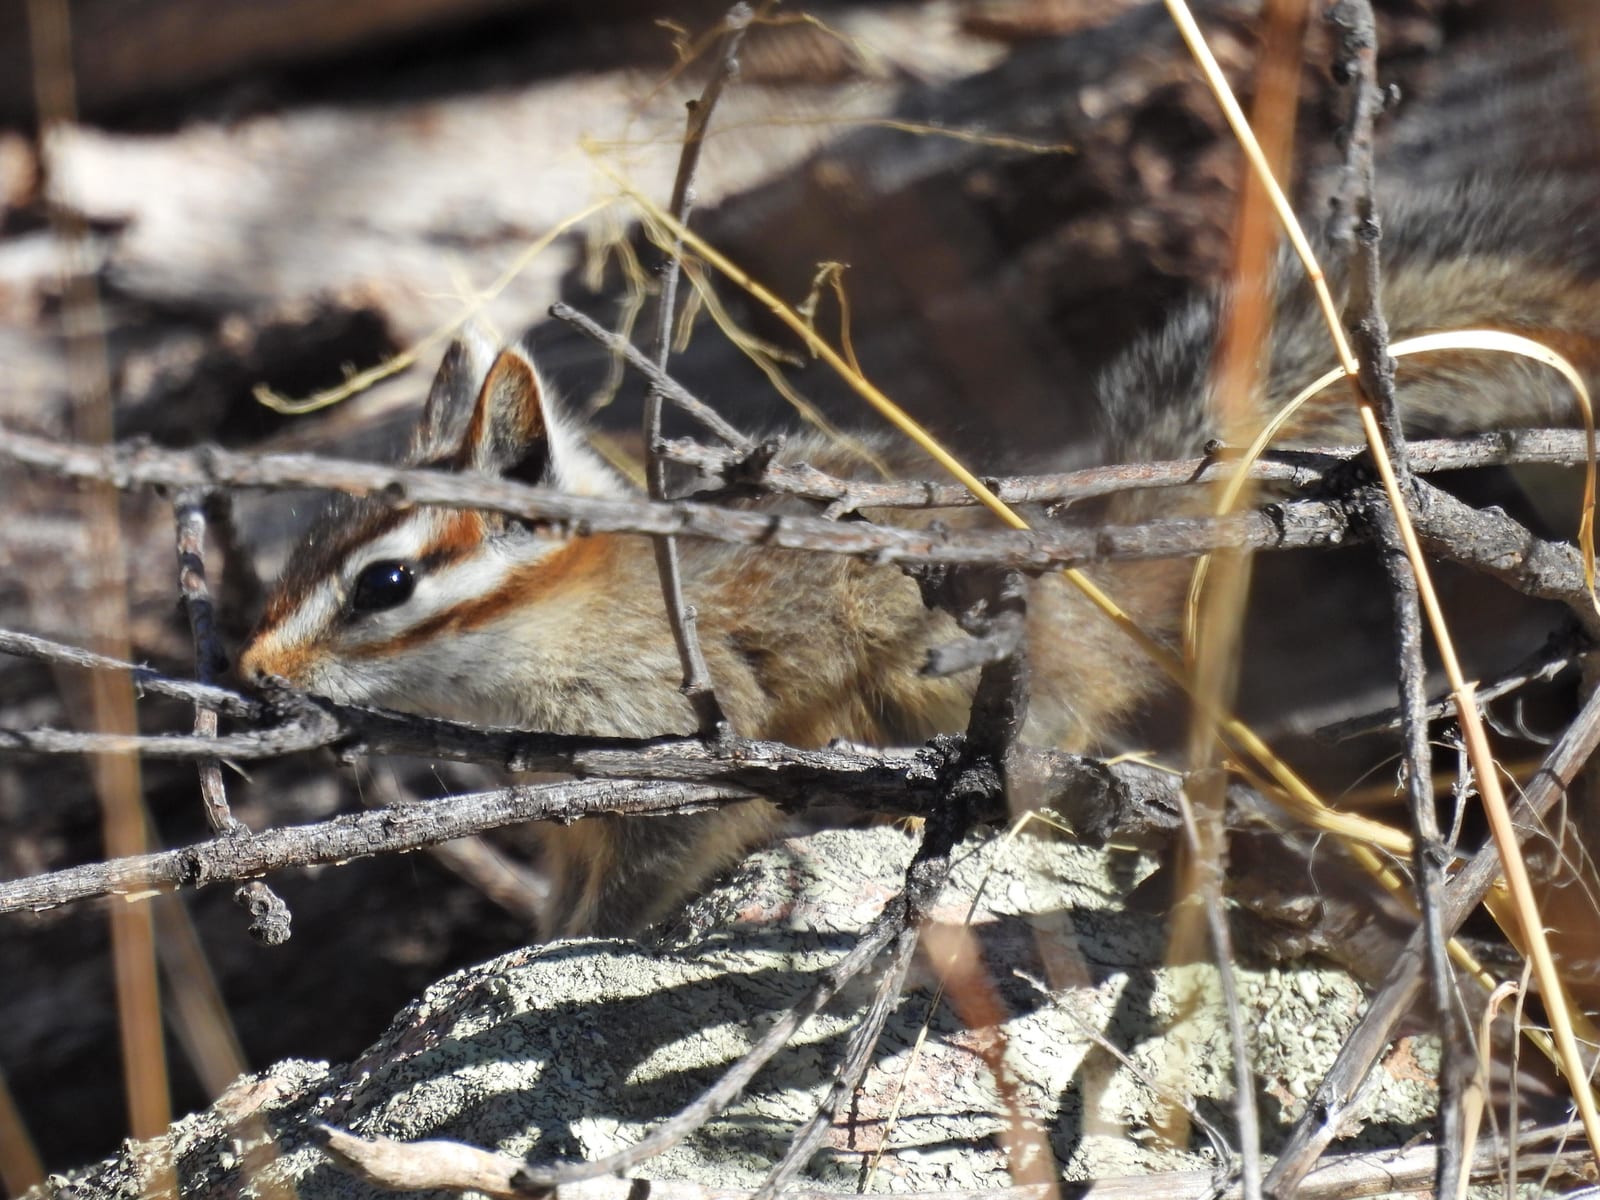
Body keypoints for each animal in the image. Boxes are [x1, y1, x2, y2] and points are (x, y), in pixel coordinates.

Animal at [239, 173, 1600, 937]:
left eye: (386, 584)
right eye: (304, 547)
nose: (252, 670)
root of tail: (1089, 580)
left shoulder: (684, 750)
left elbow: (642, 879)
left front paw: (551, 949)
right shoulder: (568, 804)